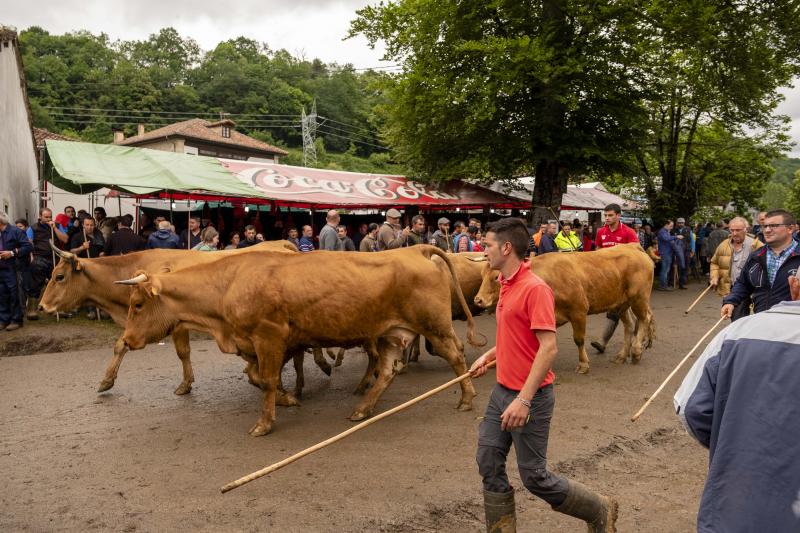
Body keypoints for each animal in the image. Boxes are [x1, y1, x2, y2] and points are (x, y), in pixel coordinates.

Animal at [39, 239, 316, 402]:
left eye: (60, 276)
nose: (42, 306)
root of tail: (282, 244)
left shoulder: (175, 323)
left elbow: (182, 352)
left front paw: (185, 384)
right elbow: (122, 345)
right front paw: (106, 381)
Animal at [118, 245, 482, 436]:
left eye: (138, 305)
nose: (127, 339)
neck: (229, 282)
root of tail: (414, 248)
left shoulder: (269, 337)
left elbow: (266, 380)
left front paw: (265, 422)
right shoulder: (260, 344)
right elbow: (260, 376)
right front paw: (289, 399)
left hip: (434, 326)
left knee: (457, 356)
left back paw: (467, 398)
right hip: (391, 334)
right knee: (388, 370)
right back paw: (362, 409)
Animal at [472, 243, 652, 372]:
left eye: (496, 277)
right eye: (481, 275)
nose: (478, 300)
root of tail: (632, 246)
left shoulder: (579, 311)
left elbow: (579, 339)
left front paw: (583, 364)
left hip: (639, 298)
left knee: (645, 319)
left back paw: (636, 351)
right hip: (621, 303)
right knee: (629, 325)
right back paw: (622, 355)